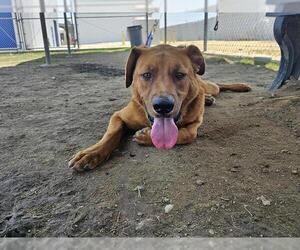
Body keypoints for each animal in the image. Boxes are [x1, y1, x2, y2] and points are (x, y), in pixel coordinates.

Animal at [68, 44, 251, 172]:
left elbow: (186, 135)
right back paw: (209, 99)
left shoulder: (194, 125)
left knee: (219, 85)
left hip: (208, 86)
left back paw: (239, 86)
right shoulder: (118, 116)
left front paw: (145, 136)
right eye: (146, 75)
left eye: (180, 74)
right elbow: (111, 134)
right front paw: (92, 153)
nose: (163, 106)